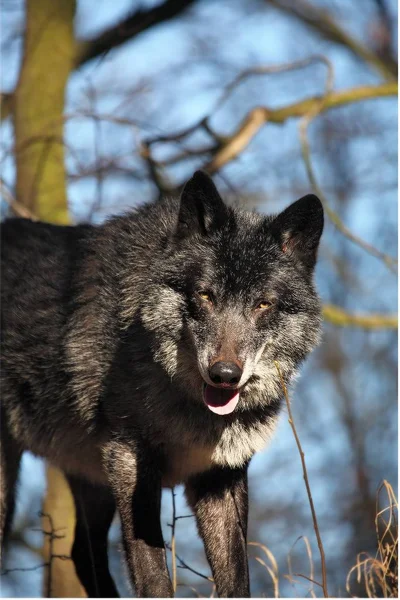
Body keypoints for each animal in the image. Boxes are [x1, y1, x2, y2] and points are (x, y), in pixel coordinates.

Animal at [0, 171, 324, 596]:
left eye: (262, 304)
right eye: (205, 295)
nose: (224, 374)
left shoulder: (220, 478)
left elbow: (237, 578)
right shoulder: (129, 460)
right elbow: (153, 579)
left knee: (83, 555)